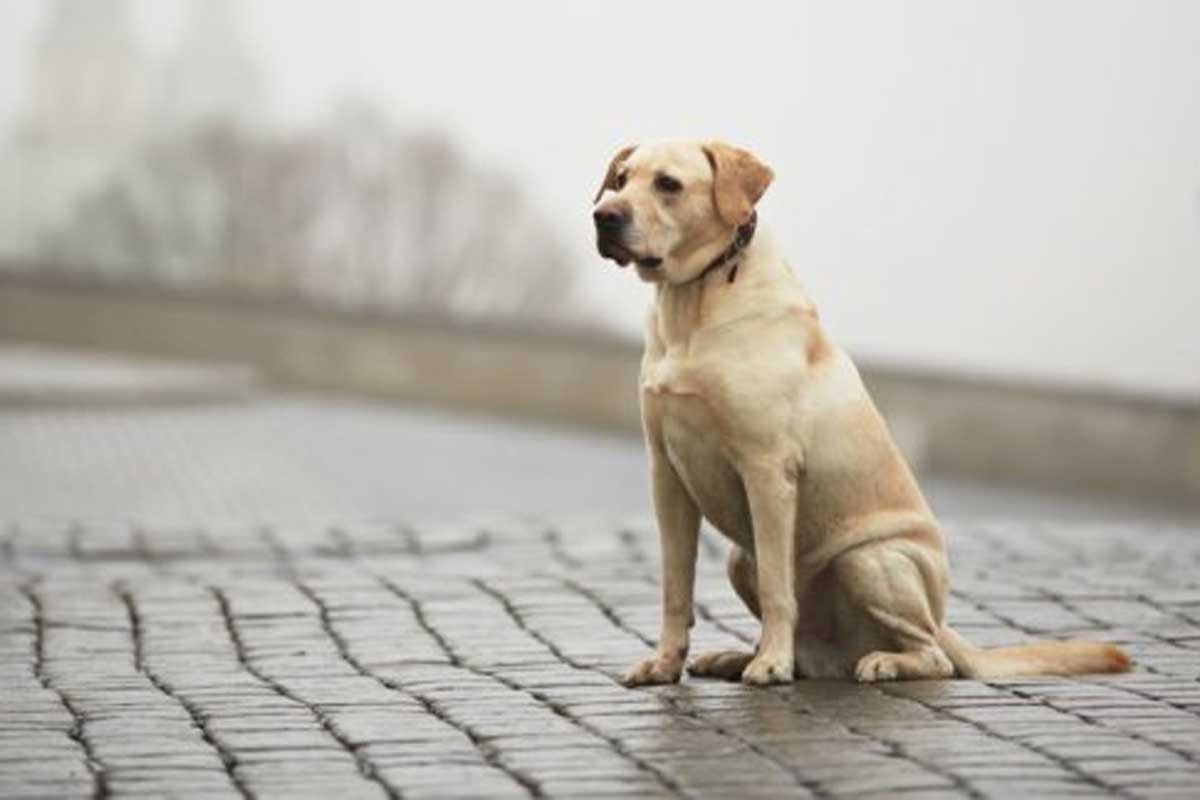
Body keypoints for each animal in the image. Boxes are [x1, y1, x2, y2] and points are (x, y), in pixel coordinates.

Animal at [595, 140, 1128, 686]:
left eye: (668, 184)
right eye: (620, 180)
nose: (603, 217)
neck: (695, 301)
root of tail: (943, 621)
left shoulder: (766, 469)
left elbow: (777, 588)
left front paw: (770, 665)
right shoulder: (667, 473)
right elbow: (675, 587)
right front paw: (665, 664)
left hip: (870, 559)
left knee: (932, 656)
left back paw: (876, 661)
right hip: (742, 559)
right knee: (815, 650)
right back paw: (740, 657)